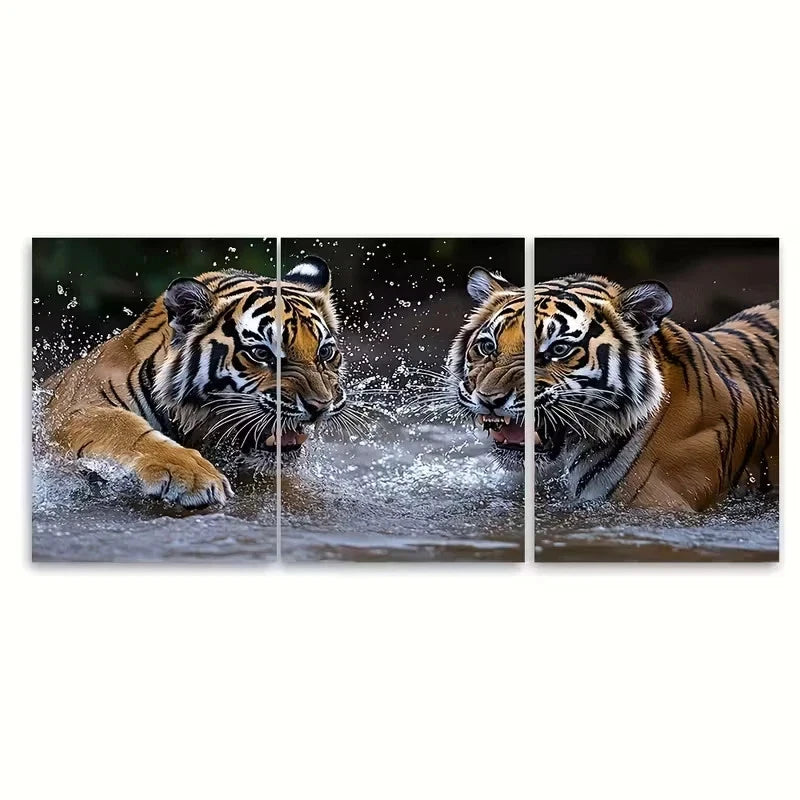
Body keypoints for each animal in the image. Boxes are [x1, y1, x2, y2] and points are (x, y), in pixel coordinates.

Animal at [40, 255, 344, 508]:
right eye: (261, 354)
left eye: (325, 352)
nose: (320, 407)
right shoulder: (73, 413)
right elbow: (125, 429)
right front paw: (194, 476)